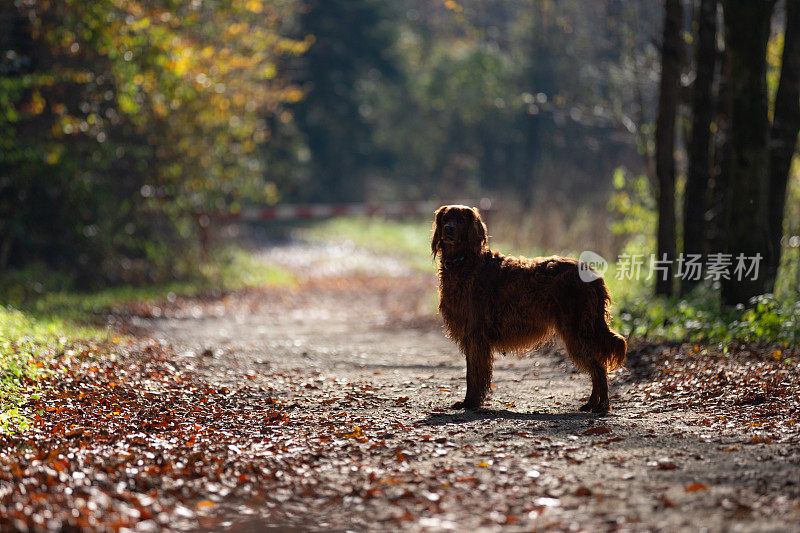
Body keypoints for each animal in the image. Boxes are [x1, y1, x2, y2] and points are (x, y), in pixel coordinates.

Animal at [432, 204, 624, 412]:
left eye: (460, 220)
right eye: (446, 218)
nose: (448, 229)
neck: (465, 262)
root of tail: (592, 273)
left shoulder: (475, 335)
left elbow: (473, 374)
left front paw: (471, 403)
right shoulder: (472, 336)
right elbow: (471, 373)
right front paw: (470, 401)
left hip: (576, 332)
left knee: (599, 368)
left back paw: (601, 406)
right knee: (597, 368)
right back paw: (591, 404)